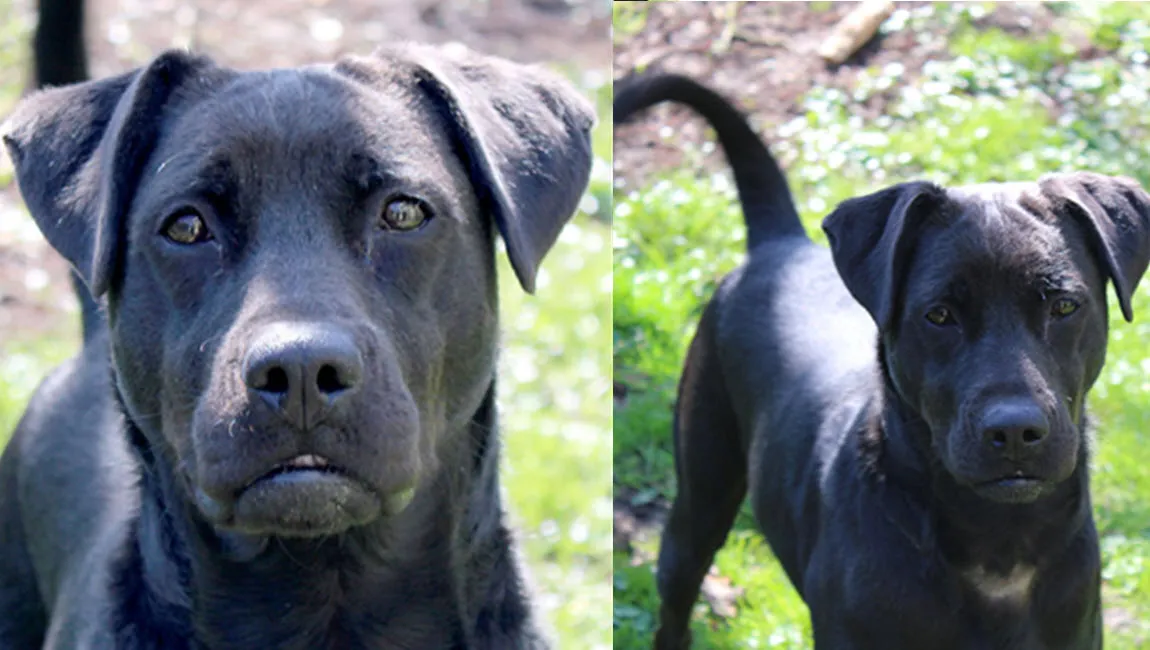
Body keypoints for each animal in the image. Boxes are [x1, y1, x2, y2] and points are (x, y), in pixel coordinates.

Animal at [616, 73, 1150, 644]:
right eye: (939, 315)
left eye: (1064, 305)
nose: (1014, 431)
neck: (998, 547)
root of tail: (779, 244)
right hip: (699, 500)